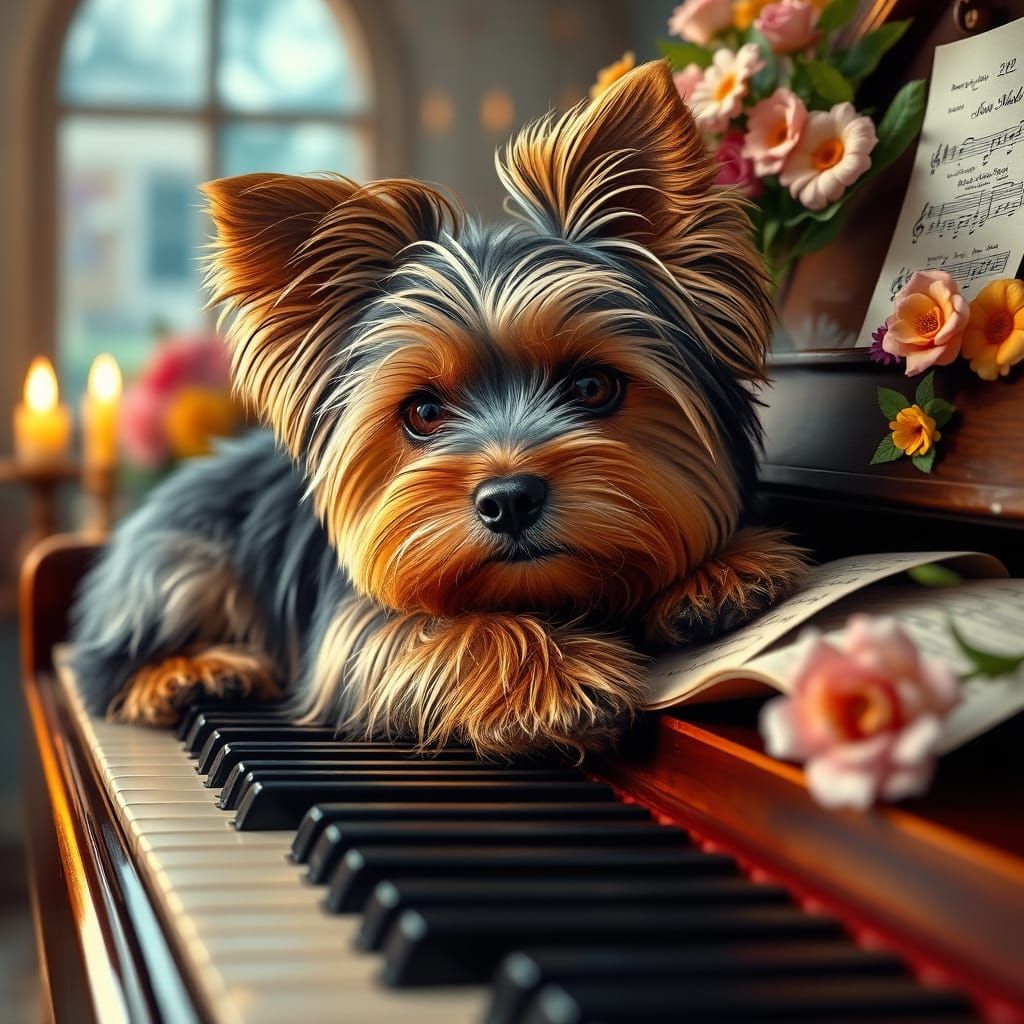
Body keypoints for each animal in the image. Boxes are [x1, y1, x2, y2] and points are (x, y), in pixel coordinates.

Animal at [70, 59, 806, 757]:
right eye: (423, 412)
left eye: (593, 388)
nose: (509, 500)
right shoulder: (350, 635)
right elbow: (425, 632)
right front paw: (557, 682)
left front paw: (718, 574)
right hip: (178, 562)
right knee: (102, 664)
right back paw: (191, 673)